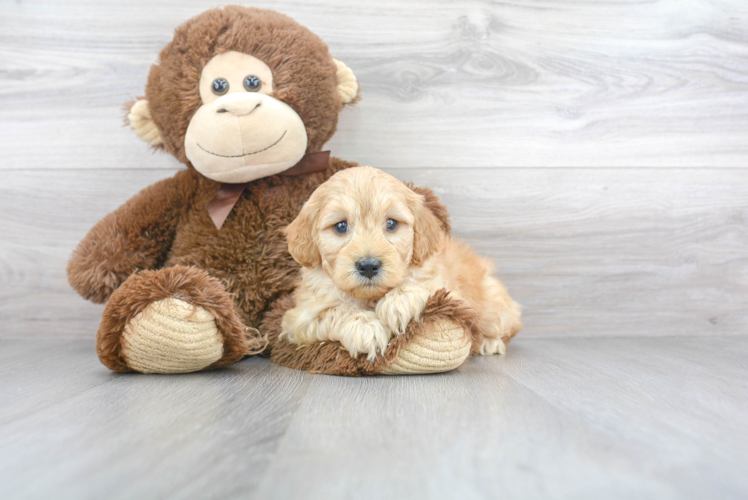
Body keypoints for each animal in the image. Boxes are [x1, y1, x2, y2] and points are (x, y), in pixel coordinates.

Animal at [280, 167, 520, 360]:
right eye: (340, 226)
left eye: (391, 223)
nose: (368, 266)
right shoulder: (299, 318)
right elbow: (336, 310)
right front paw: (364, 327)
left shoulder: (452, 293)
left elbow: (426, 286)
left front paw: (399, 300)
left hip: (494, 309)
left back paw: (490, 343)